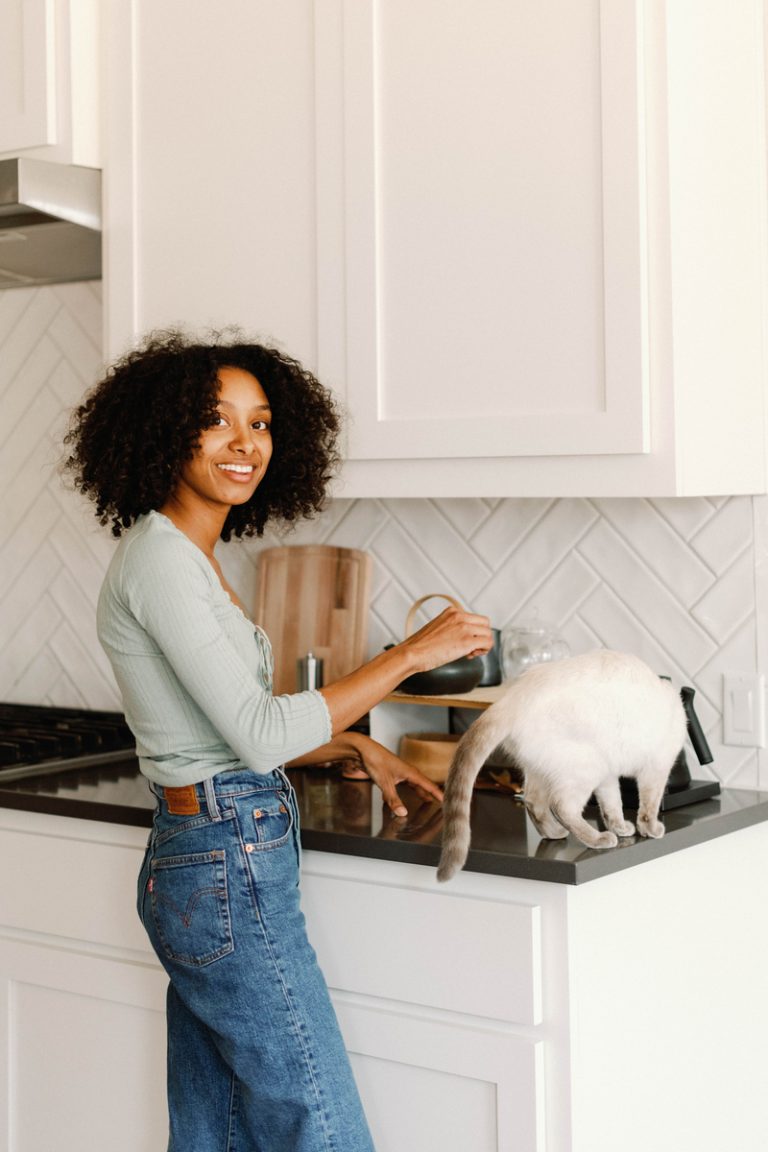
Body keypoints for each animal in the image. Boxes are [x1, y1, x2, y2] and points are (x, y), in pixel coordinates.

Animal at [435, 654, 686, 884]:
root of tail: (514, 696)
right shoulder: (655, 769)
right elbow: (648, 808)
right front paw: (652, 830)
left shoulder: (609, 776)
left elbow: (612, 806)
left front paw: (622, 828)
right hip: (587, 767)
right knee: (562, 806)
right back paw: (598, 839)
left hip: (550, 768)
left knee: (533, 801)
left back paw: (554, 834)